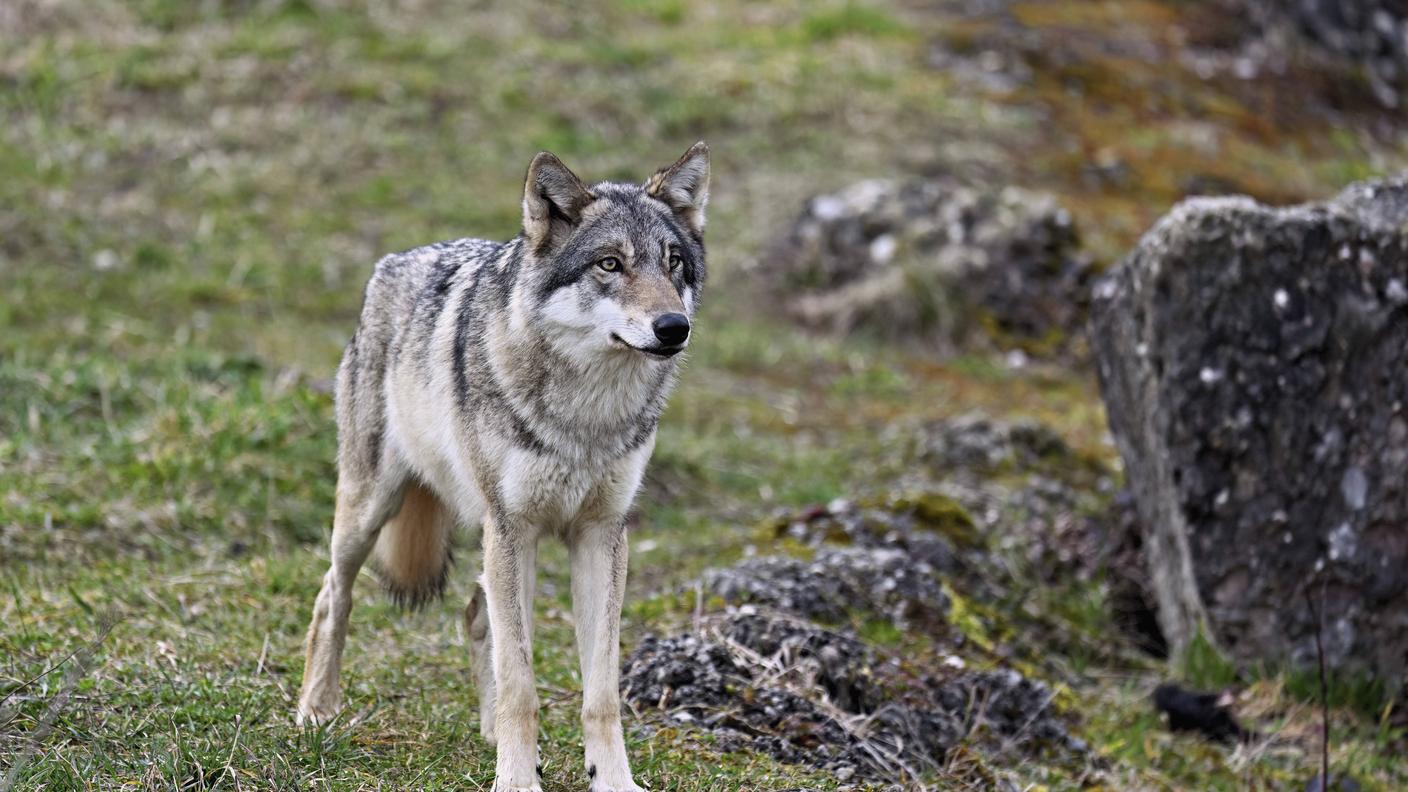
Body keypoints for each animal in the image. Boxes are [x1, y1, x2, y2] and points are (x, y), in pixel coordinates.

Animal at [295, 143, 709, 792]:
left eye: (673, 264)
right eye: (610, 264)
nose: (673, 327)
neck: (585, 416)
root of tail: (392, 262)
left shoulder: (601, 534)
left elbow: (600, 692)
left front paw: (611, 780)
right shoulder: (513, 525)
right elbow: (522, 684)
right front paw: (516, 780)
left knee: (474, 611)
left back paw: (491, 734)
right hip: (375, 512)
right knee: (331, 595)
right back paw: (316, 708)